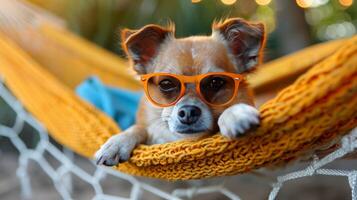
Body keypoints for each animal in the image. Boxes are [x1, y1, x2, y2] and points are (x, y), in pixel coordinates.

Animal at [94, 18, 264, 166]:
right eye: (166, 84)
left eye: (215, 82)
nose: (188, 111)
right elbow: (139, 127)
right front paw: (117, 142)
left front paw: (235, 114)